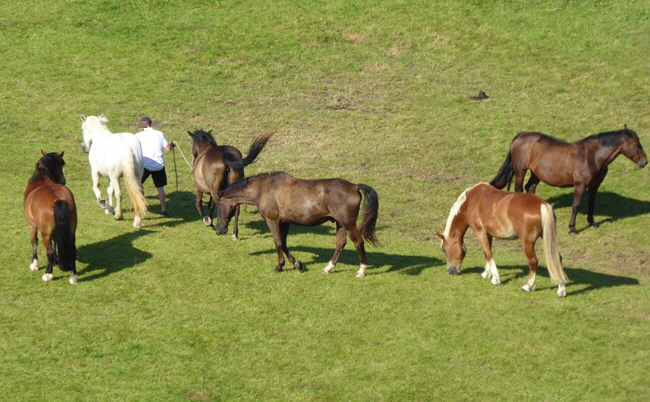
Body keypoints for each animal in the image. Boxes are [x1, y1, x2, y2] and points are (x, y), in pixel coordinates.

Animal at [23, 152, 78, 284]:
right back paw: (73, 276)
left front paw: (34, 264)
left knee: (49, 251)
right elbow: (55, 242)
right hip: (71, 231)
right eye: (61, 164)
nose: (63, 181)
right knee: (72, 250)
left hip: (45, 233)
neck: (40, 178)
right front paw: (56, 262)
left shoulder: (32, 226)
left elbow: (34, 242)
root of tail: (58, 200)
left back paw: (47, 274)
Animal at [213, 173, 380, 276]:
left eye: (218, 206)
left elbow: (278, 243)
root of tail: (354, 186)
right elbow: (284, 244)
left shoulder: (272, 221)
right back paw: (328, 268)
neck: (263, 189)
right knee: (340, 244)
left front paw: (279, 266)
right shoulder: (285, 223)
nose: (219, 230)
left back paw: (361, 271)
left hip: (348, 224)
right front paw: (296, 264)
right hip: (340, 224)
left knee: (358, 242)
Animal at [436, 184, 568, 296]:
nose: (451, 271)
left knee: (533, 261)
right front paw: (486, 273)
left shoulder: (479, 232)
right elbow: (487, 253)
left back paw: (528, 286)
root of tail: (542, 204)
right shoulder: (488, 234)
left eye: (444, 250)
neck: (470, 201)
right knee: (557, 258)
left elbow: (488, 254)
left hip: (527, 243)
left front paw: (495, 278)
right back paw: (561, 289)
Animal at [488, 127, 644, 234]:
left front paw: (592, 222)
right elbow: (576, 205)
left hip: (536, 174)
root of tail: (522, 135)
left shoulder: (594, 186)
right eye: (637, 145)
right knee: (519, 189)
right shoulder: (580, 185)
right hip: (520, 171)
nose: (644, 162)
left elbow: (591, 204)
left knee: (530, 187)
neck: (592, 156)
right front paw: (572, 228)